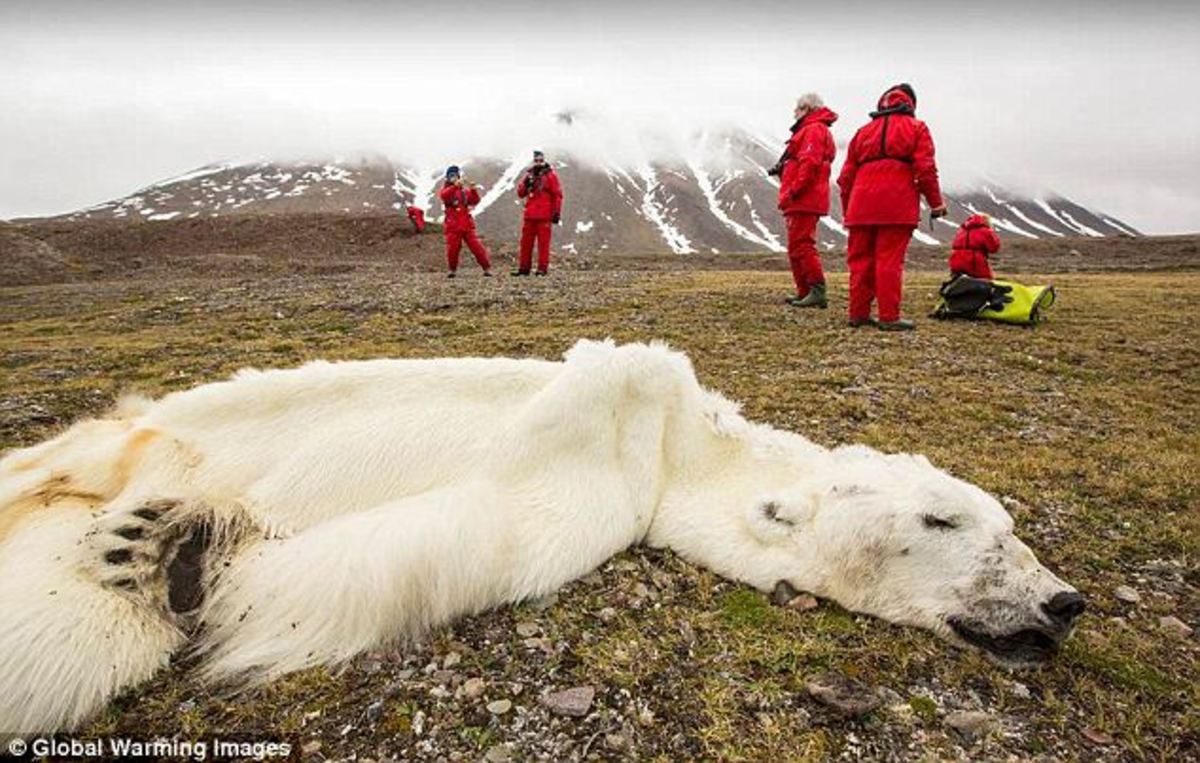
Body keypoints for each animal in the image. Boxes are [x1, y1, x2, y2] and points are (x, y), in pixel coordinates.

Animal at [0, 340, 1084, 734]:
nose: (1063, 600)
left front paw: (179, 553)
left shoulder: (598, 499)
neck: (675, 448)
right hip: (128, 436)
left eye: (1009, 523)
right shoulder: (613, 430)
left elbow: (436, 541)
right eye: (945, 517)